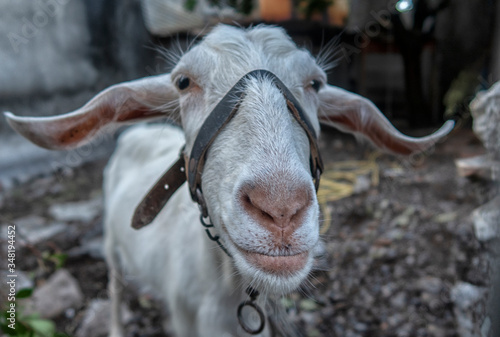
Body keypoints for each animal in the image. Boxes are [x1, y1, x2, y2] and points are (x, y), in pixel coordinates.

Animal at [6, 24, 454, 336]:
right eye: (183, 82)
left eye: (315, 83)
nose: (280, 207)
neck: (226, 291)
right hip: (112, 248)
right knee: (115, 290)